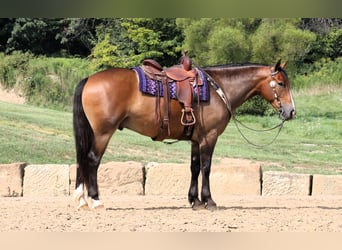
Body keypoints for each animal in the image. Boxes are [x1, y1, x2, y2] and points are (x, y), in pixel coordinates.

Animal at [73, 59, 296, 210]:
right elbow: (206, 168)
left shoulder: (196, 140)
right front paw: (209, 200)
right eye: (281, 84)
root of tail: (89, 79)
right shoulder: (209, 137)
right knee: (92, 160)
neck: (219, 89)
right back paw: (95, 200)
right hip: (103, 133)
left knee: (82, 160)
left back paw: (81, 199)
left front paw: (194, 200)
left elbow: (194, 167)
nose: (291, 111)